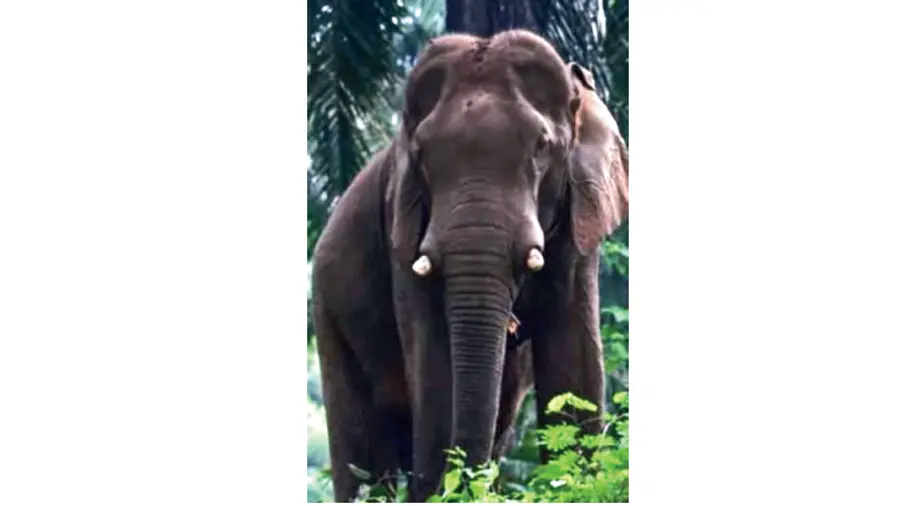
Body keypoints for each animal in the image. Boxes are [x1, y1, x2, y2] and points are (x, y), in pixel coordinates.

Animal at [311, 29, 628, 502]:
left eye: (542, 147)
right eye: (422, 154)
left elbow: (575, 363)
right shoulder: (402, 225)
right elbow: (434, 363)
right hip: (329, 314)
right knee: (362, 450)